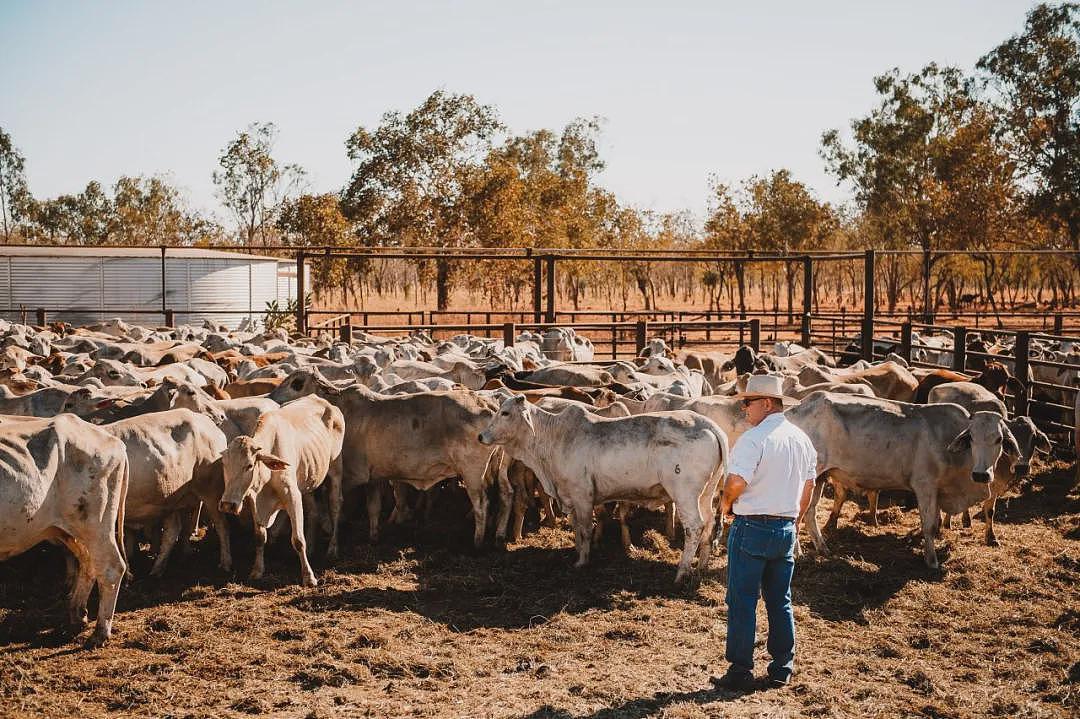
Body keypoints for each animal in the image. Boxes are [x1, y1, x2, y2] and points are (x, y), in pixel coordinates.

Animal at [479, 392, 725, 582]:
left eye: (505, 413)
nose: (481, 436)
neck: (555, 438)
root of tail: (709, 425)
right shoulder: (570, 496)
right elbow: (576, 527)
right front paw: (578, 552)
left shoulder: (583, 495)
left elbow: (586, 528)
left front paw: (582, 561)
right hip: (706, 493)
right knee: (709, 522)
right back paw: (701, 566)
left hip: (684, 494)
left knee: (694, 527)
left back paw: (682, 572)